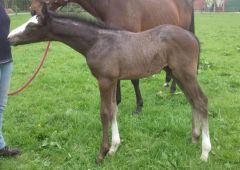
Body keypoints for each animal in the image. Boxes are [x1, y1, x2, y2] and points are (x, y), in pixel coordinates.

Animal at [30, 0, 195, 115]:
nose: (33, 10)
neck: (113, 6)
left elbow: (134, 80)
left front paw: (139, 107)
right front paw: (116, 102)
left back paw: (173, 88)